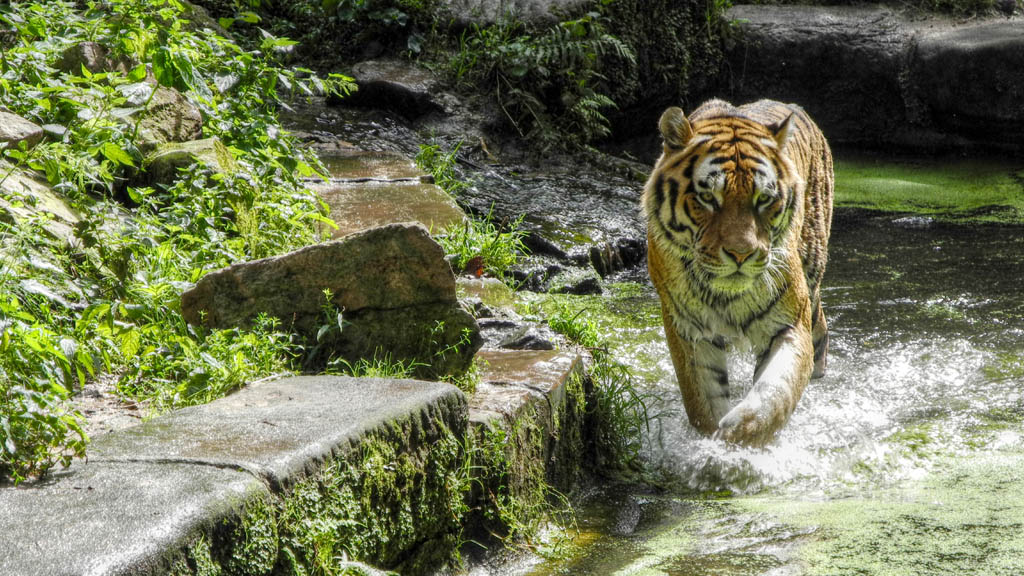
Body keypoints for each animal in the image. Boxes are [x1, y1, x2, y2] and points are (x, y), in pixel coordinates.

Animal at [642, 99, 833, 447]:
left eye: (764, 198)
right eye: (707, 197)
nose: (741, 254)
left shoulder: (788, 323)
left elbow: (775, 392)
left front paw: (739, 434)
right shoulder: (688, 330)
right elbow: (702, 401)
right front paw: (712, 440)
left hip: (812, 269)